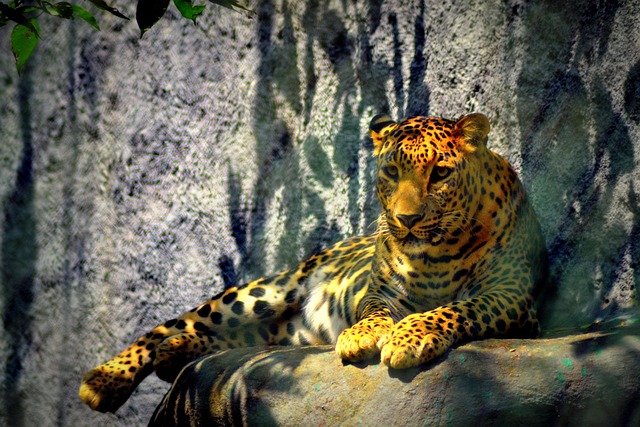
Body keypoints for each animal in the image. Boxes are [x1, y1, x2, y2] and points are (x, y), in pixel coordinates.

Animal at [79, 112, 546, 414]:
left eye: (441, 174)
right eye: (392, 173)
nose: (406, 219)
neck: (435, 252)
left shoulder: (511, 296)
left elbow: (455, 308)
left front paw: (410, 336)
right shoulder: (382, 290)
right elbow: (373, 311)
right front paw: (362, 336)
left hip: (276, 332)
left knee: (237, 341)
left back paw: (175, 354)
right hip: (262, 292)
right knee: (177, 324)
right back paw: (106, 379)